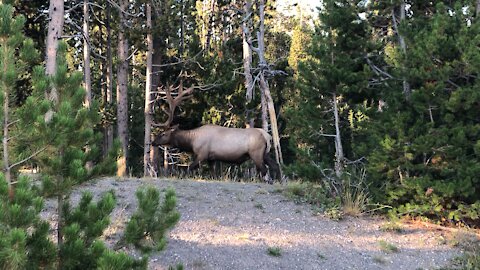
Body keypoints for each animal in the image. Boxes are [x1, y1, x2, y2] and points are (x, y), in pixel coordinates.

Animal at [152, 83, 280, 182]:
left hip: (256, 153)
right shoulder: (211, 158)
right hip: (265, 153)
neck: (192, 141)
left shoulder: (202, 154)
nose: (153, 142)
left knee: (264, 169)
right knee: (275, 165)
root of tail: (267, 136)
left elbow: (189, 168)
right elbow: (213, 174)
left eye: (163, 134)